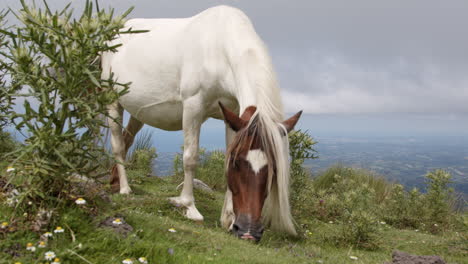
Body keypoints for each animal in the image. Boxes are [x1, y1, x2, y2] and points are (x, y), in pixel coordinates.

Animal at [100, 4, 302, 239]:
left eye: (273, 169)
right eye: (237, 163)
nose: (248, 232)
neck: (218, 48)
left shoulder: (233, 116)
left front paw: (228, 218)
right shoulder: (192, 108)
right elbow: (190, 157)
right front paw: (189, 207)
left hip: (138, 111)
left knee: (127, 139)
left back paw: (115, 181)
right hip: (112, 100)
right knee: (118, 144)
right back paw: (124, 188)